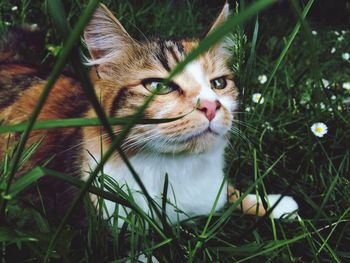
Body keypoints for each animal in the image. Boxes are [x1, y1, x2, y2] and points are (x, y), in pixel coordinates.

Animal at [0, 2, 298, 227]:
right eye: (159, 86)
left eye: (219, 83)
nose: (211, 106)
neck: (177, 168)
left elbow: (228, 193)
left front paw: (274, 204)